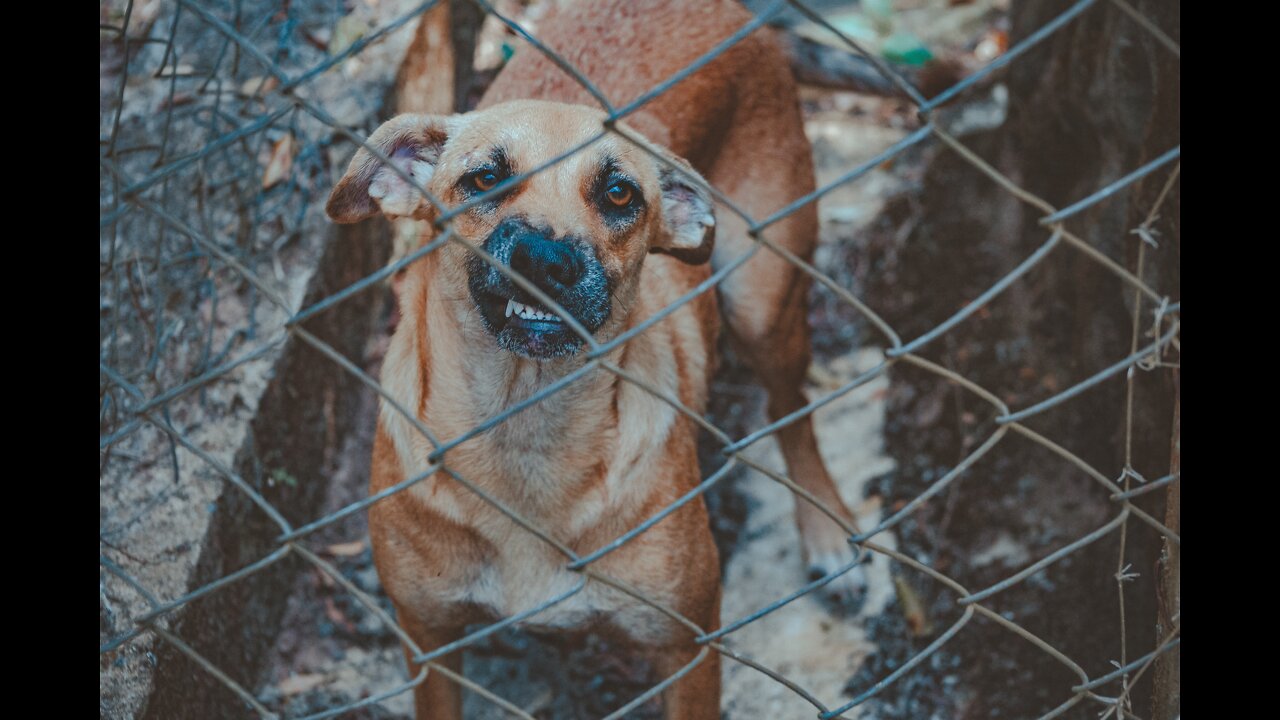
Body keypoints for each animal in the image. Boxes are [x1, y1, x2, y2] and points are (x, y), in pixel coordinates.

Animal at [325, 2, 870, 712]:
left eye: (618, 194)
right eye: (486, 178)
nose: (545, 259)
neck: (525, 428)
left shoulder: (688, 646)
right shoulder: (430, 642)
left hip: (764, 301)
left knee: (792, 409)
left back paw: (828, 531)